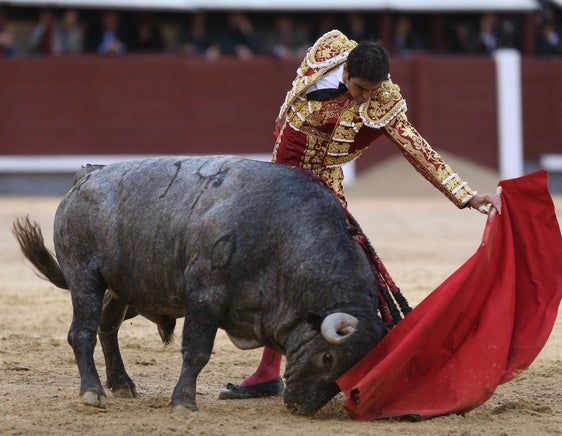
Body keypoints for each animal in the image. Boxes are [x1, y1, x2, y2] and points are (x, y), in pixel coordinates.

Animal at [12, 156, 384, 416]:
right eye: (327, 358)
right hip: (85, 277)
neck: (283, 238)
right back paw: (93, 393)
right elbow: (198, 351)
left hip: (123, 289)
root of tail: (87, 175)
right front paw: (183, 403)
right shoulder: (205, 296)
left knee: (107, 327)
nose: (300, 407)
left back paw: (121, 384)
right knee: (82, 332)